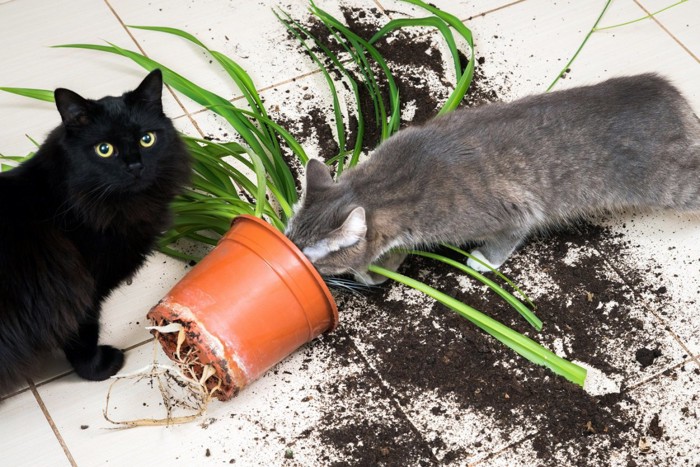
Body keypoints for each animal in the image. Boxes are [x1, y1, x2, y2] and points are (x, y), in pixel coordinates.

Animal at [0, 68, 191, 392]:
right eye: (104, 150)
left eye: (147, 139)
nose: (135, 166)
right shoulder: (83, 292)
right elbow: (83, 338)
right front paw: (101, 368)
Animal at [284, 75, 700, 286]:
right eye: (289, 237)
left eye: (310, 256)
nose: (291, 256)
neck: (387, 183)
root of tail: (677, 101)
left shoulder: (515, 210)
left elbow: (508, 237)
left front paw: (483, 260)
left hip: (671, 183)